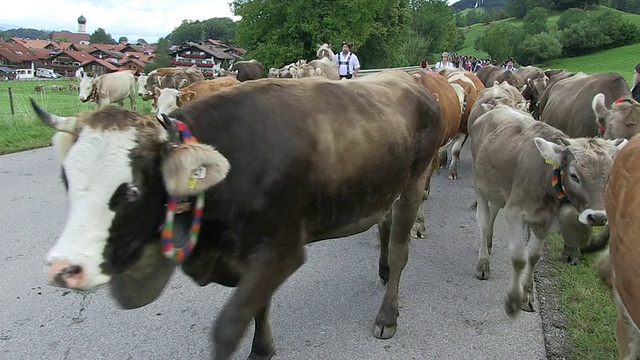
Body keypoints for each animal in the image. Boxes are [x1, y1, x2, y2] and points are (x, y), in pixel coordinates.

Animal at [28, 70, 440, 360]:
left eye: (131, 191)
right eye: (66, 179)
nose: (64, 268)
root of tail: (414, 83)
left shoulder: (282, 251)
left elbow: (229, 325)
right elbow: (259, 305)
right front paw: (262, 349)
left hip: (415, 180)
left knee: (401, 249)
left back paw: (387, 314)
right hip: (385, 185)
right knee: (384, 225)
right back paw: (382, 269)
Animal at [468, 105, 628, 318]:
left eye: (610, 176)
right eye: (574, 175)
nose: (598, 217)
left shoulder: (546, 222)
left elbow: (533, 257)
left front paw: (527, 296)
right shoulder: (514, 212)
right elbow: (519, 258)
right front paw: (513, 300)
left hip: (497, 191)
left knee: (493, 213)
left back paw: (488, 242)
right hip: (480, 187)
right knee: (484, 221)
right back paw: (483, 262)